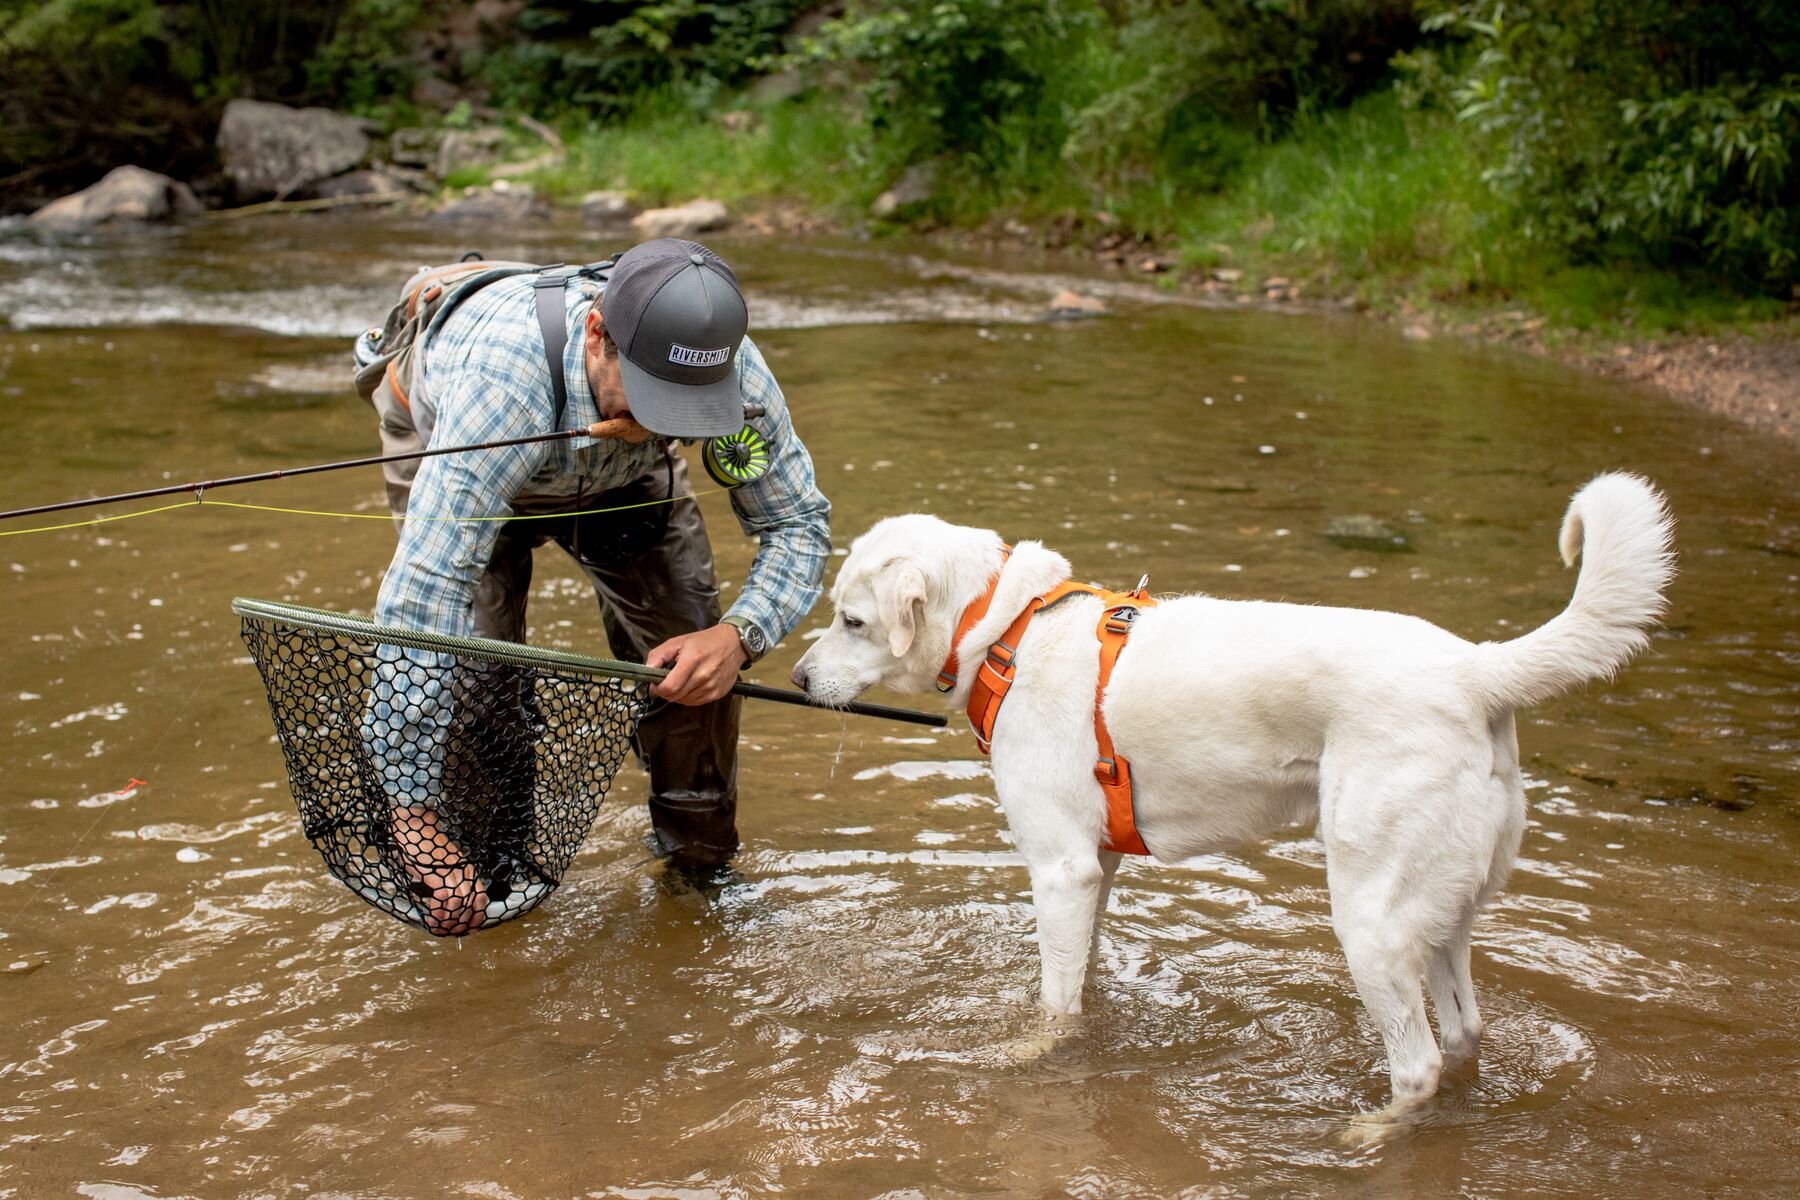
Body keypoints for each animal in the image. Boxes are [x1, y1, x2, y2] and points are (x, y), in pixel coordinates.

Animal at [795, 474, 1677, 1108]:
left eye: (852, 622)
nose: (798, 679)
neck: (1008, 630)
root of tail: (1477, 670)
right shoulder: (1098, 871)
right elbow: (1083, 982)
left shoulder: (1061, 871)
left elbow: (1055, 1005)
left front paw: (1034, 1054)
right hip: (1446, 911)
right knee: (1464, 1031)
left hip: (1371, 919)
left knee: (1419, 1062)